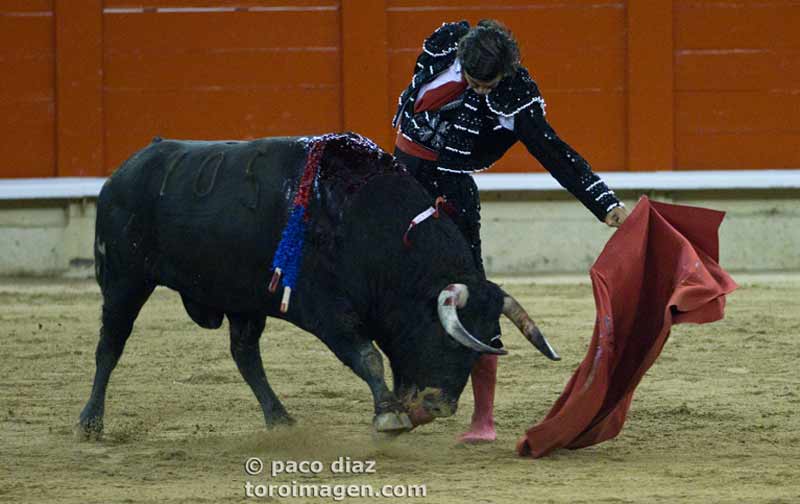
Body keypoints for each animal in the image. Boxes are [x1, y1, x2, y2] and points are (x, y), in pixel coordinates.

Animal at [78, 133, 560, 438]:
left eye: (483, 346)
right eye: (446, 340)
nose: (438, 406)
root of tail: (126, 169)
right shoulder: (326, 311)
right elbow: (367, 355)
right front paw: (389, 416)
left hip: (242, 301)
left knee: (244, 354)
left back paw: (280, 419)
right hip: (123, 280)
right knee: (110, 345)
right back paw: (90, 422)